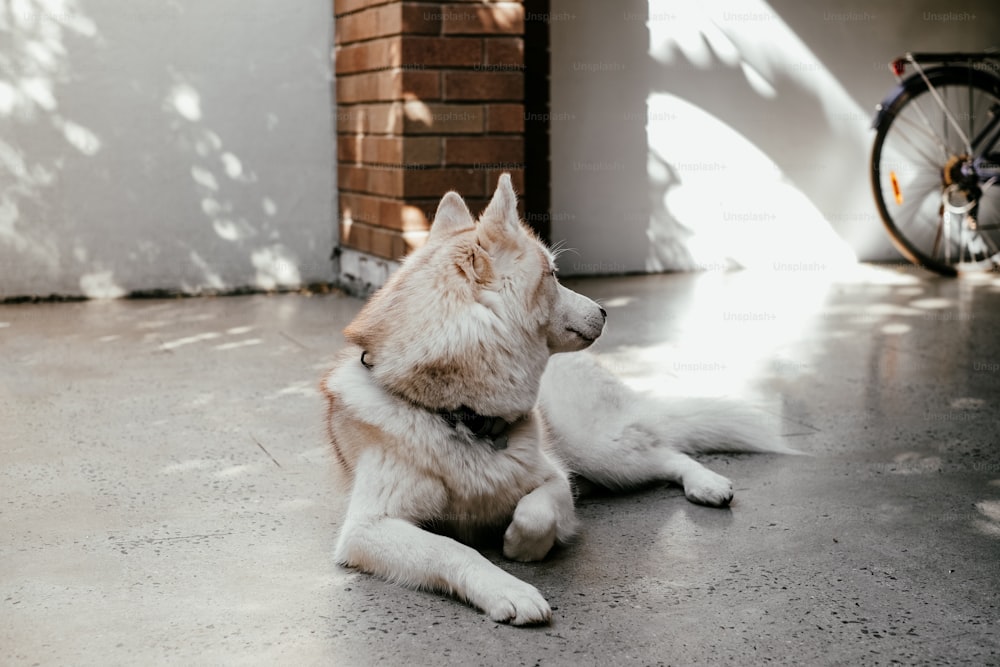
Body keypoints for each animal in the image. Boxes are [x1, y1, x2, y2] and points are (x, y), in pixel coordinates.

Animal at [320, 172, 788, 628]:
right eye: (553, 274)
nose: (605, 311)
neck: (463, 415)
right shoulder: (367, 529)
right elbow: (449, 548)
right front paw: (508, 589)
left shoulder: (557, 478)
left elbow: (536, 511)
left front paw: (520, 545)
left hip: (599, 450)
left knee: (668, 453)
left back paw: (706, 483)